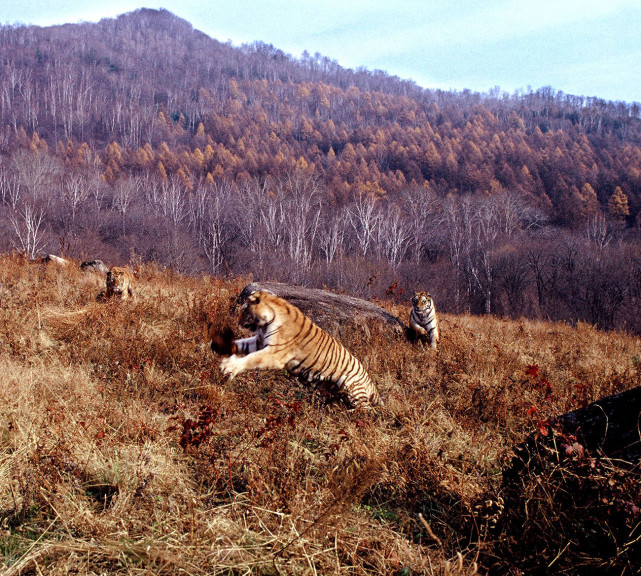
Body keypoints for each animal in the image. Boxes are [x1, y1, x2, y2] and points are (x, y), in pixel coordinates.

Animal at [210, 290, 380, 408]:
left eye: (244, 310)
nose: (238, 323)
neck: (266, 323)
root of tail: (371, 383)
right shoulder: (258, 341)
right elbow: (241, 344)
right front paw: (218, 344)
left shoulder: (274, 354)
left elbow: (251, 359)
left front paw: (229, 366)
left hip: (351, 385)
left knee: (367, 411)